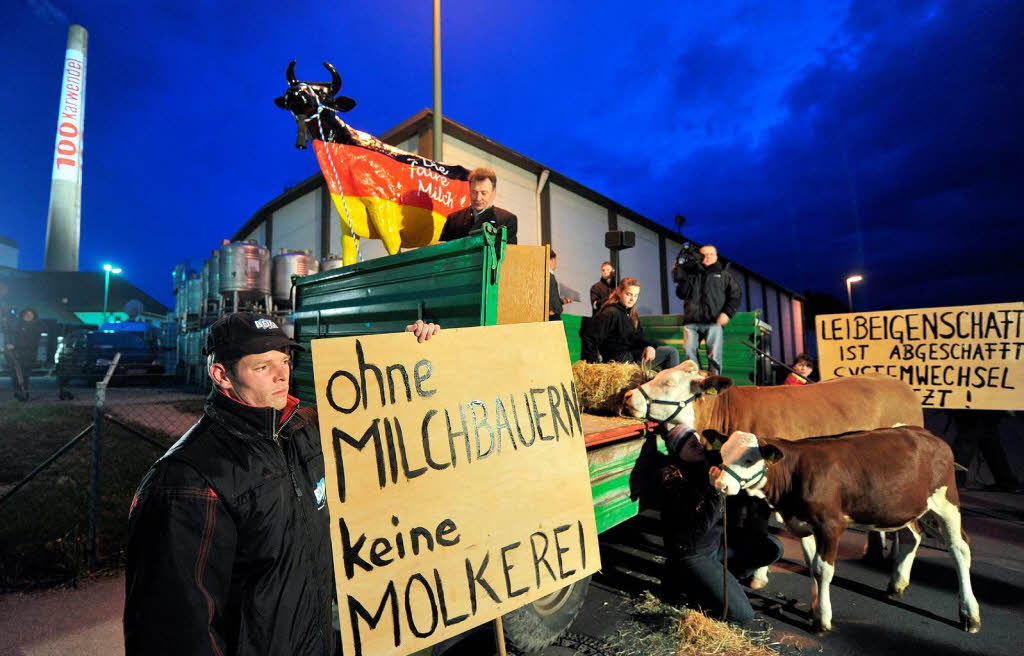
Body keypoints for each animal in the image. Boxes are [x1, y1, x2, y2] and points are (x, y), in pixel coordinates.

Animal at [708, 427, 978, 630]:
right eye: (722, 454)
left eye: (749, 460)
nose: (721, 485)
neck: (794, 473)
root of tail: (926, 433)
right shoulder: (804, 524)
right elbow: (811, 566)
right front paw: (815, 608)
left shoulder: (830, 525)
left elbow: (822, 570)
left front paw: (822, 618)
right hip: (903, 506)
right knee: (913, 537)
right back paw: (897, 584)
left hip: (946, 502)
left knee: (960, 548)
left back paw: (969, 613)